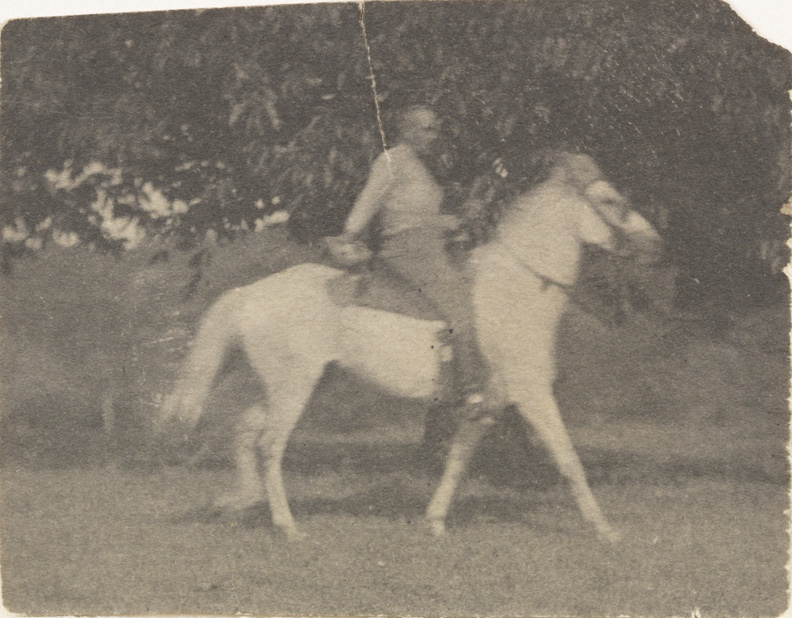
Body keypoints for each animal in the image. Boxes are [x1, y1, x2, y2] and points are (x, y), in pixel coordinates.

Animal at [158, 152, 663, 543]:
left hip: (301, 384)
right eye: (610, 201)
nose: (656, 245)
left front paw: (434, 521)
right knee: (268, 445)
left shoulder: (487, 407)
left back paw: (238, 502)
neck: (516, 288)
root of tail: (249, 293)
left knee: (244, 433)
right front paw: (605, 530)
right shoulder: (533, 394)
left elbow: (458, 461)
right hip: (293, 387)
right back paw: (287, 526)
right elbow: (569, 460)